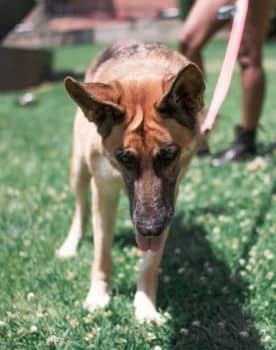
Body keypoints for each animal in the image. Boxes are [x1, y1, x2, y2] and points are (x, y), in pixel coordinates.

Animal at [56, 42, 205, 324]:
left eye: (169, 155)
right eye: (125, 158)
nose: (149, 228)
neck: (140, 72)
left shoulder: (170, 198)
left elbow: (150, 262)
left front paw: (146, 305)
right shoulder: (103, 192)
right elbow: (102, 253)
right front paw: (98, 295)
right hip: (78, 171)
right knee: (81, 209)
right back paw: (70, 245)